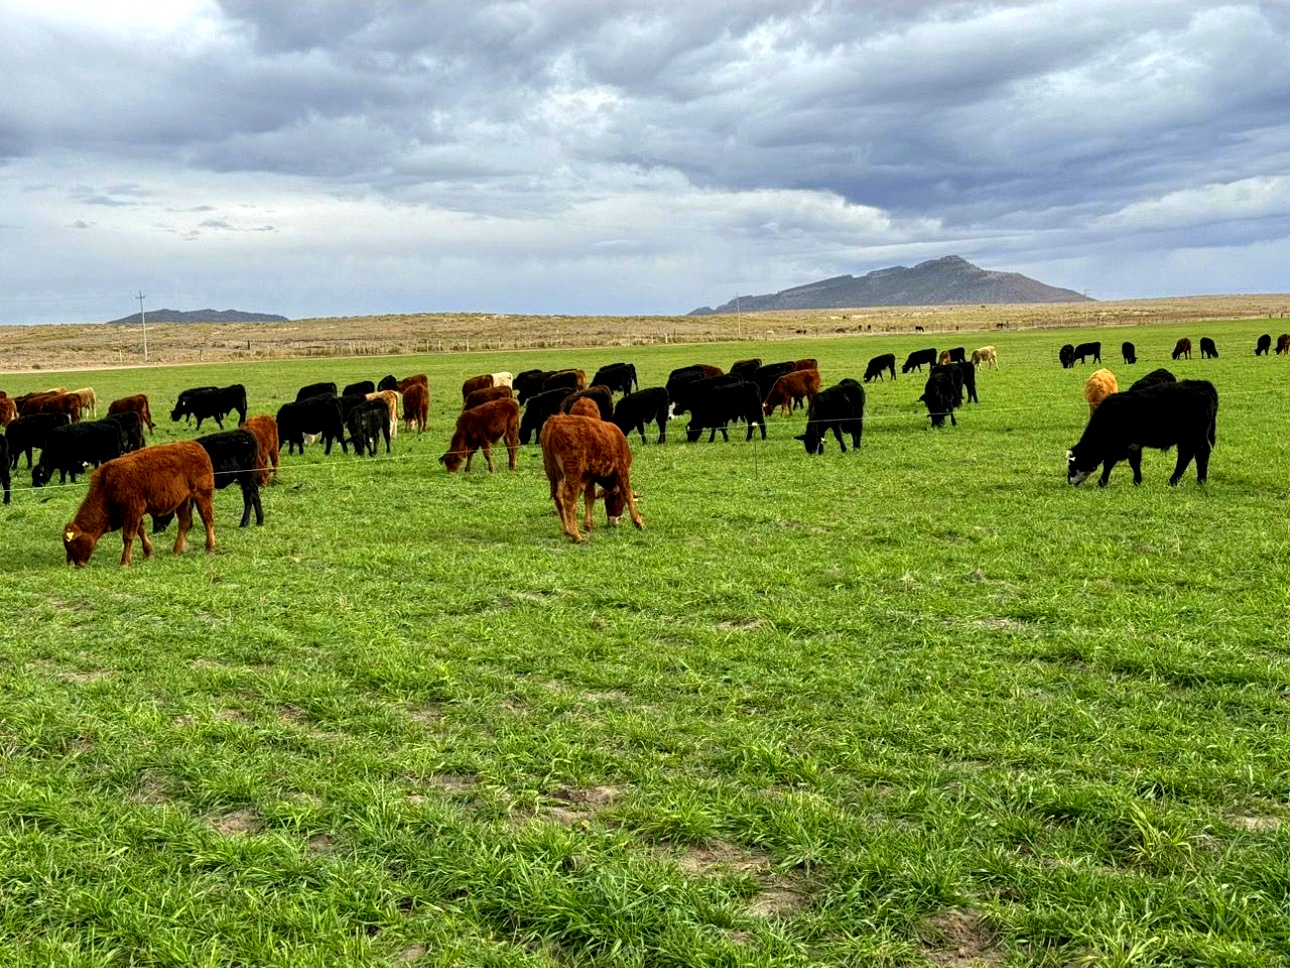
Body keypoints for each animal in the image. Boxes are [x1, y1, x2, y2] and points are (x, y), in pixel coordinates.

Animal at [62, 441, 217, 567]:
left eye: (75, 543)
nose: (78, 564)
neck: (107, 485)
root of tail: (196, 446)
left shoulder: (132, 512)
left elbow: (128, 536)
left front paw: (124, 562)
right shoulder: (136, 513)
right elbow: (141, 531)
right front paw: (149, 554)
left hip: (202, 494)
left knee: (207, 520)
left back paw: (210, 548)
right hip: (183, 501)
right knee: (184, 522)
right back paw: (177, 550)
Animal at [540, 412, 644, 543]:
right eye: (615, 500)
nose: (613, 522)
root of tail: (555, 421)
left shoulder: (589, 477)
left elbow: (589, 497)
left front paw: (588, 525)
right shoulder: (621, 469)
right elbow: (627, 494)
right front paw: (638, 522)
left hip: (553, 471)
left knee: (558, 495)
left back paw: (567, 529)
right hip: (573, 470)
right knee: (568, 497)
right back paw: (576, 535)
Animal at [1067, 380, 1217, 487]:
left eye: (1072, 466)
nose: (1069, 482)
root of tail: (1202, 384)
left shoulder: (1118, 446)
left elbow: (1109, 463)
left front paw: (1102, 482)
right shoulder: (1133, 444)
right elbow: (1134, 462)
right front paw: (1137, 481)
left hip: (1193, 437)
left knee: (1193, 455)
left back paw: (1184, 480)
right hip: (1191, 438)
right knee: (1194, 455)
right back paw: (1192, 480)